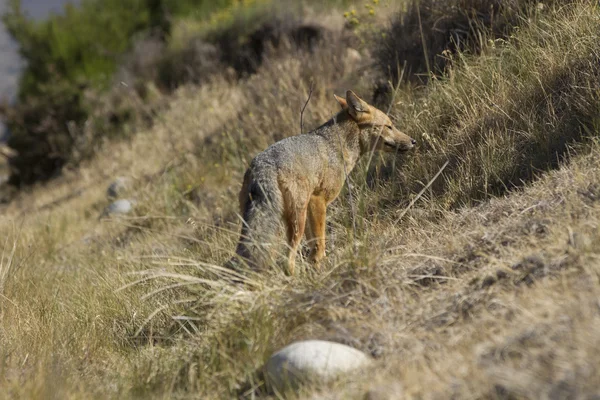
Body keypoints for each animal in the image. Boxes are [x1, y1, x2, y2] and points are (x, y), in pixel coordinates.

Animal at [231, 90, 418, 276]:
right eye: (389, 126)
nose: (413, 141)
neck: (337, 146)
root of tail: (263, 166)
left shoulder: (311, 208)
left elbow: (313, 244)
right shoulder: (318, 200)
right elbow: (320, 243)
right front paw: (320, 268)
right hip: (296, 220)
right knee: (288, 258)